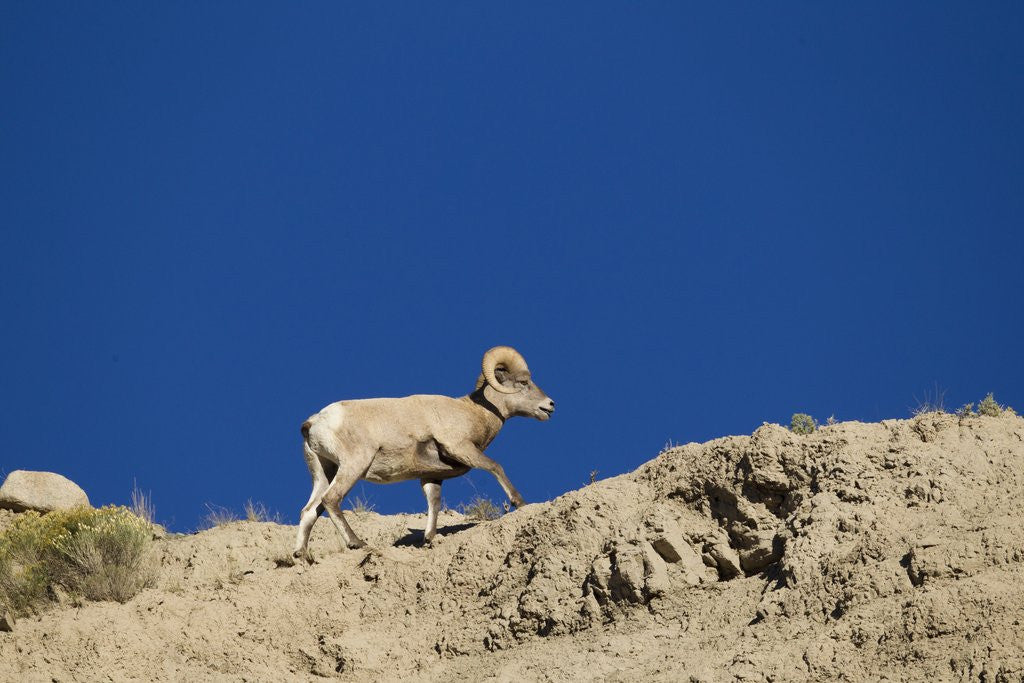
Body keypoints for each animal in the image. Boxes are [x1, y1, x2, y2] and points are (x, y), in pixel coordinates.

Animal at [293, 346, 555, 558]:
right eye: (523, 382)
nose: (550, 405)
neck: (474, 412)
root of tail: (315, 422)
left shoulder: (430, 476)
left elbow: (434, 502)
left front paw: (429, 538)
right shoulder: (461, 448)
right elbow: (495, 466)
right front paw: (520, 503)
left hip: (325, 472)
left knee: (309, 512)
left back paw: (302, 556)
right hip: (353, 466)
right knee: (331, 500)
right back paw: (357, 543)